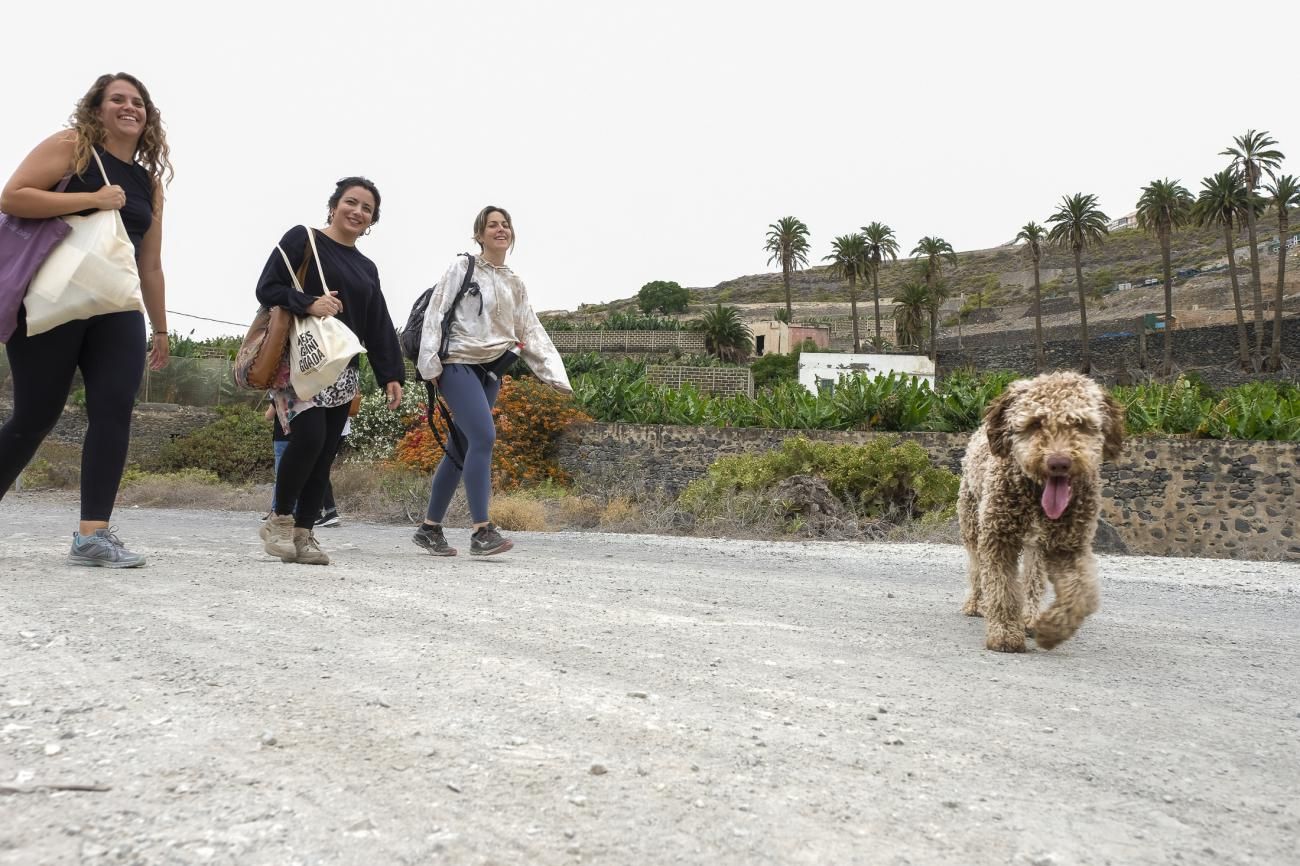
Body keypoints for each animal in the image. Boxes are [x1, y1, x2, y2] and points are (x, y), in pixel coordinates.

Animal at [961, 369, 1123, 647]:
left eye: (1080, 423)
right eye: (1035, 423)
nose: (1059, 462)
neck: (1036, 496)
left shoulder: (1069, 544)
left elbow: (1081, 592)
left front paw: (1051, 629)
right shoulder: (998, 537)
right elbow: (1001, 587)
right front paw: (1005, 633)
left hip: (1036, 547)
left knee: (1032, 580)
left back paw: (1030, 617)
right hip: (971, 523)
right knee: (976, 569)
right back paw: (974, 603)